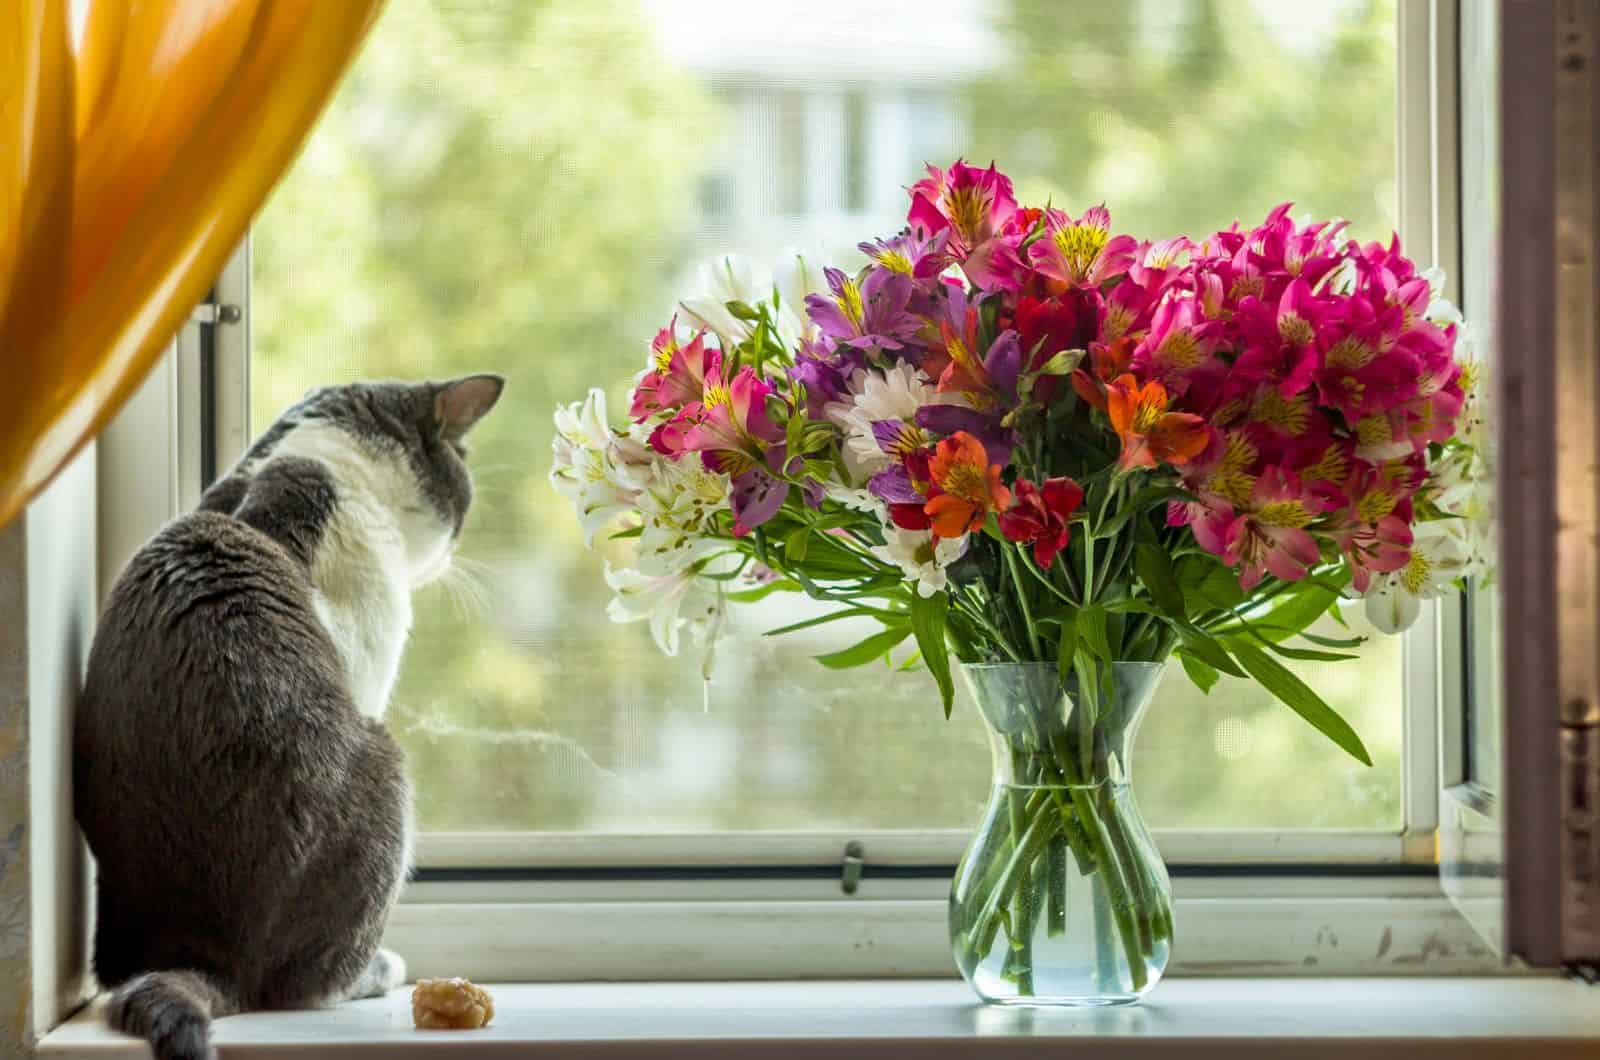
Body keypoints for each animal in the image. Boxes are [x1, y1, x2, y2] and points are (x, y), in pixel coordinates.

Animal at [70, 376, 499, 1060]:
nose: (456, 546)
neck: (321, 454)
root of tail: (209, 954)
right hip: (384, 764)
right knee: (303, 984)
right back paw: (377, 969)